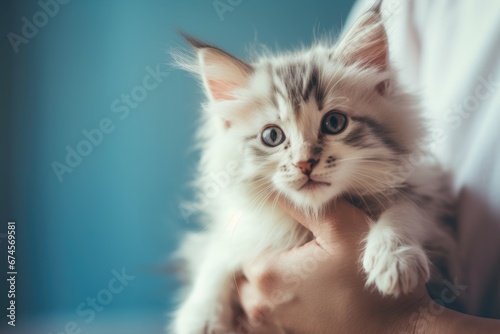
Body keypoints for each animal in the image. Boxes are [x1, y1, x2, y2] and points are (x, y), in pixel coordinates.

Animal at [171, 3, 458, 334]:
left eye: (334, 123)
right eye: (272, 136)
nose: (304, 162)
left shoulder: (427, 199)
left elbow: (404, 210)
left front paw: (395, 258)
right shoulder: (245, 229)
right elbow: (217, 255)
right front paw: (199, 316)